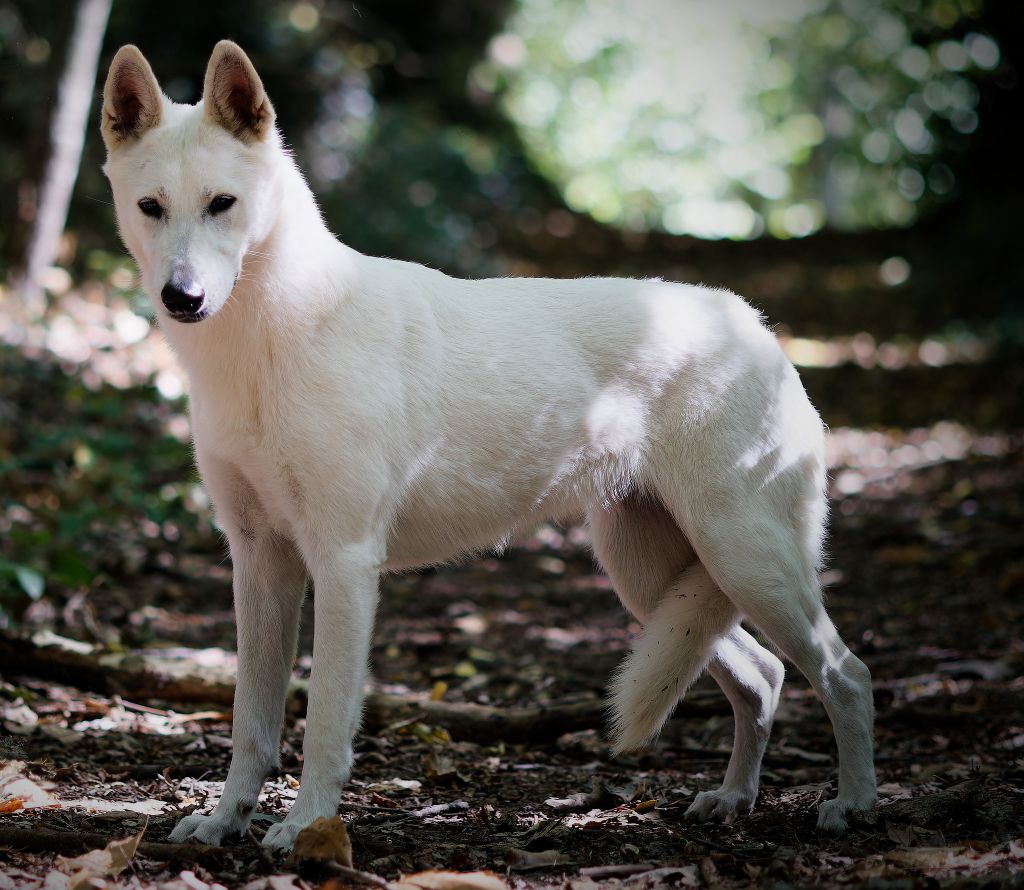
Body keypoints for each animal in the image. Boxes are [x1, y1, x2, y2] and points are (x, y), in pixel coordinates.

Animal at [99, 43, 876, 856]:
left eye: (222, 204)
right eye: (152, 208)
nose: (182, 298)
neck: (271, 340)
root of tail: (752, 323)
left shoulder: (343, 562)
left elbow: (323, 725)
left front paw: (306, 827)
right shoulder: (258, 561)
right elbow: (251, 722)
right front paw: (226, 821)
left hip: (744, 558)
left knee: (846, 675)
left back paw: (853, 805)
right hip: (656, 576)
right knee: (764, 677)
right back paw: (733, 799)